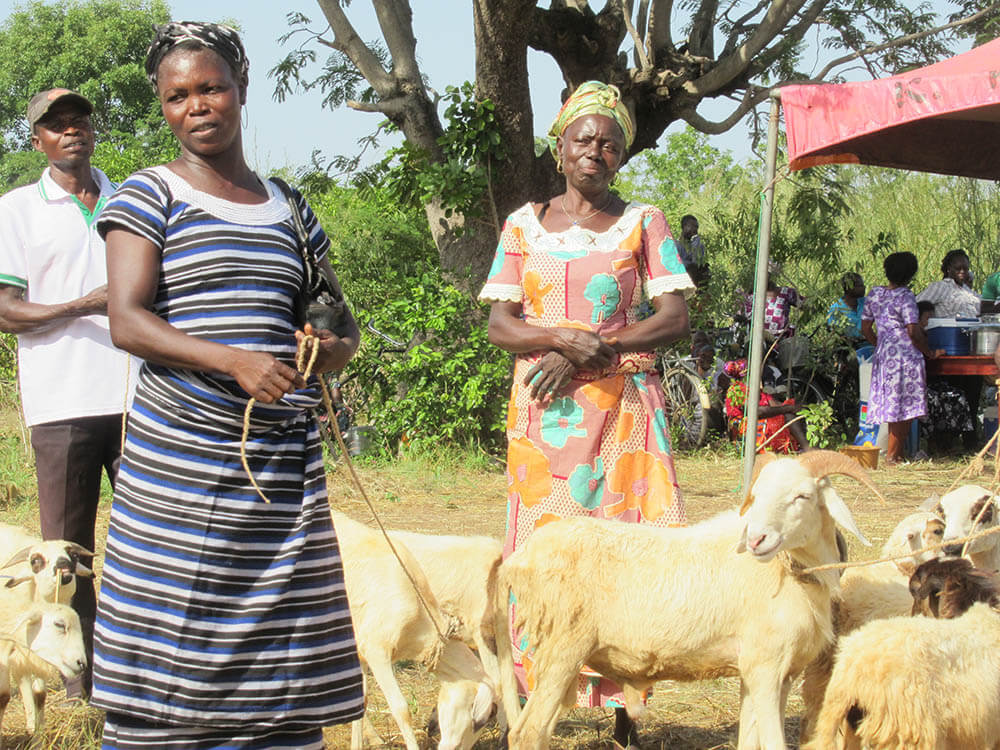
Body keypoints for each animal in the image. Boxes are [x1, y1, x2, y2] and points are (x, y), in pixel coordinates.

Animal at [496, 452, 880, 750]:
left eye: (803, 495)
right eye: (756, 495)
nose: (756, 539)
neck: (790, 571)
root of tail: (520, 557)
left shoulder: (763, 672)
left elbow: (749, 741)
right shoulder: (766, 667)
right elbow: (772, 742)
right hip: (563, 648)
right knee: (527, 733)